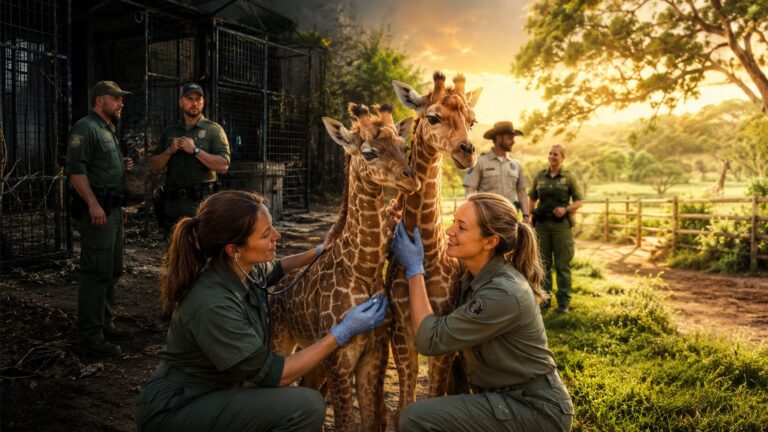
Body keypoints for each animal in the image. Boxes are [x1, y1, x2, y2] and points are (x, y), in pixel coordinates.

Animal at [270, 103, 420, 432]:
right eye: (369, 153)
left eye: (403, 145)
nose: (411, 178)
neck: (362, 268)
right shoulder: (339, 357)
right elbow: (347, 424)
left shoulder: (374, 355)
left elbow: (373, 421)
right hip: (280, 341)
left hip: (311, 353)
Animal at [387, 72, 482, 420]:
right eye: (433, 117)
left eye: (472, 120)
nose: (467, 151)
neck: (428, 250)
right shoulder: (400, 331)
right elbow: (404, 404)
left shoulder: (443, 334)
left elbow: (434, 396)